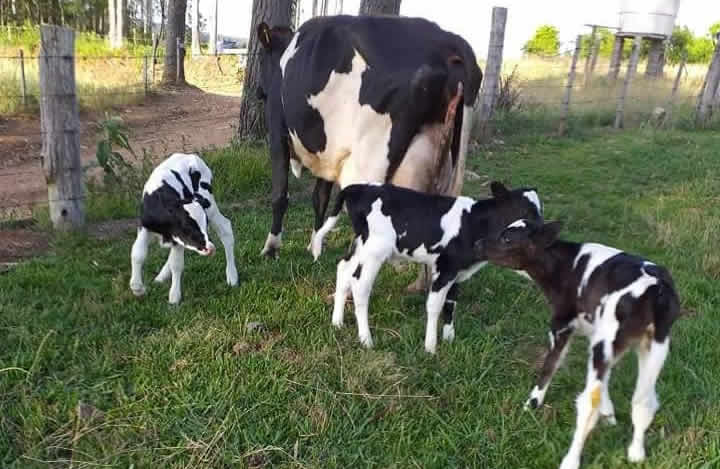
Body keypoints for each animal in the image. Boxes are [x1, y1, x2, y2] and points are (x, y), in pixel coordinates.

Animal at [130, 151, 239, 304]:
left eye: (205, 224)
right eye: (186, 228)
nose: (210, 248)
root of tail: (190, 156)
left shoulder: (177, 239)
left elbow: (177, 264)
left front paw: (174, 298)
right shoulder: (145, 225)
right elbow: (137, 254)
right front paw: (137, 288)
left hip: (210, 204)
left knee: (225, 228)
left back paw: (232, 277)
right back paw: (160, 277)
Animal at [256, 14, 480, 274]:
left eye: (261, 58)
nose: (258, 91)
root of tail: (448, 43)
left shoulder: (277, 133)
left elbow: (280, 196)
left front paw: (271, 249)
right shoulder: (328, 151)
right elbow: (319, 198)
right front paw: (314, 246)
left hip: (370, 163)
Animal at [318, 181, 544, 352]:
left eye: (540, 210)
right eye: (525, 210)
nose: (543, 230)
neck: (474, 223)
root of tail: (357, 187)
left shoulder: (456, 271)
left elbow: (451, 303)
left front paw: (449, 339)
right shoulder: (444, 268)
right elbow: (434, 306)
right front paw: (430, 347)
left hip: (361, 245)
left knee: (343, 269)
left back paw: (337, 323)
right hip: (375, 251)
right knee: (360, 285)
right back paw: (366, 340)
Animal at [484, 219, 680, 468]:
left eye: (507, 238)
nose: (478, 243)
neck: (565, 267)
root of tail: (656, 287)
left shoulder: (561, 325)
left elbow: (549, 366)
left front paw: (531, 404)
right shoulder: (595, 332)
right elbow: (604, 381)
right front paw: (610, 415)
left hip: (612, 340)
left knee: (589, 402)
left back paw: (571, 460)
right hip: (655, 344)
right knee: (643, 400)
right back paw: (636, 453)